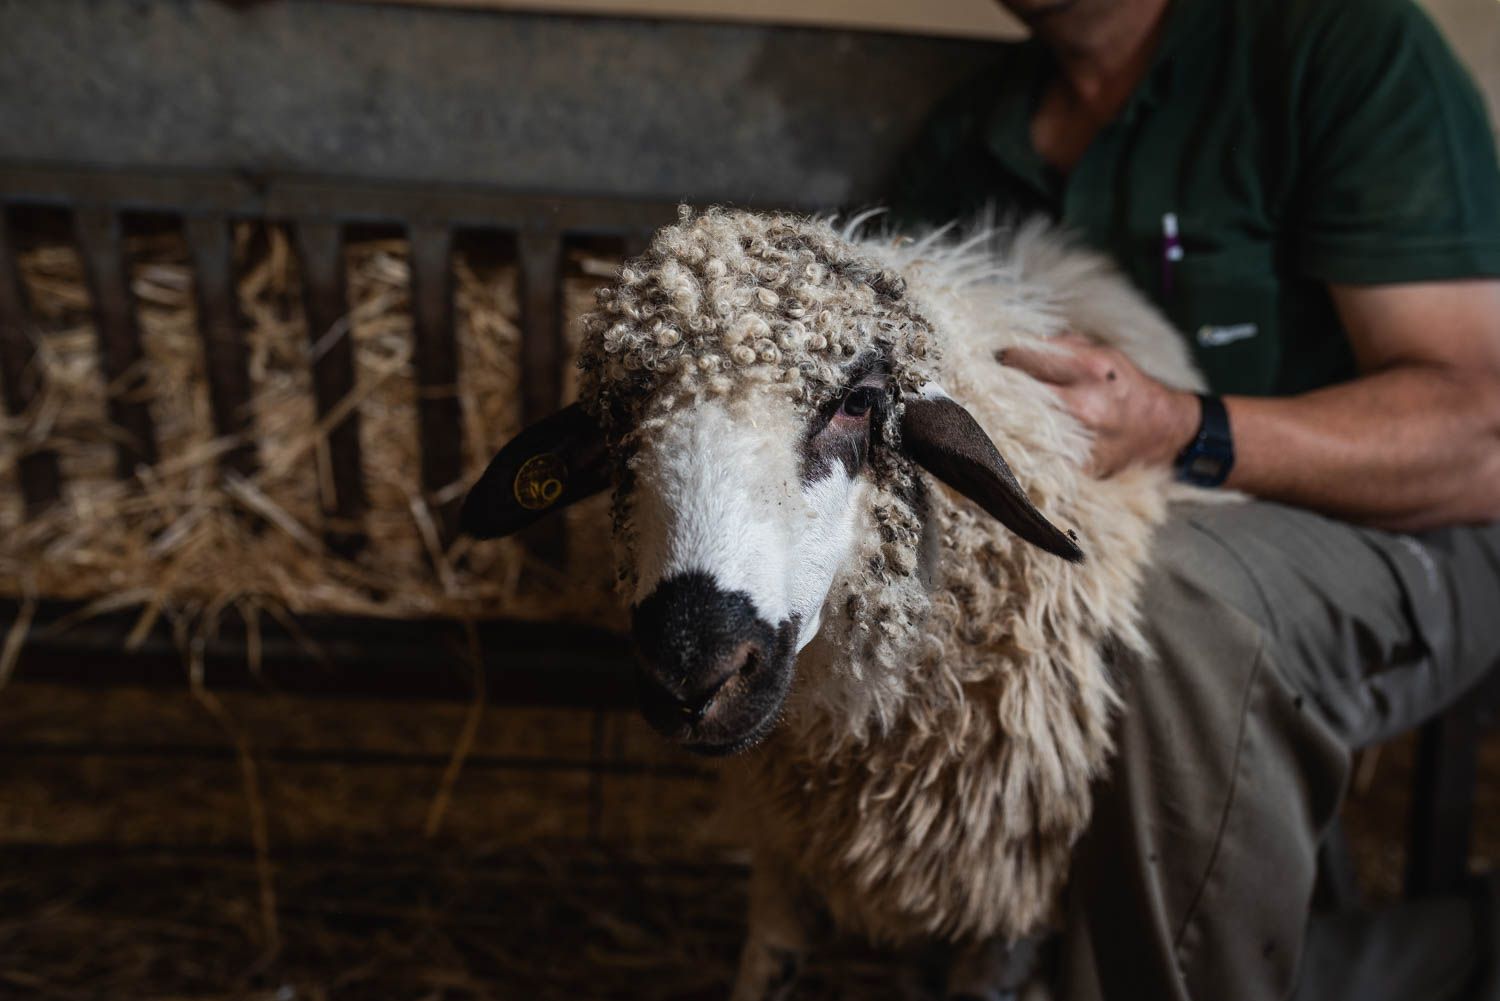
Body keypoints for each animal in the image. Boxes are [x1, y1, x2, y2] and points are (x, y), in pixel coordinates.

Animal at [462, 207, 1200, 996]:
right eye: (619, 415)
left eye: (855, 403)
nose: (695, 675)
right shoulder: (786, 849)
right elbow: (768, 962)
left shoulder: (1012, 902)